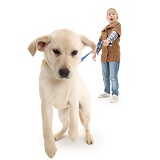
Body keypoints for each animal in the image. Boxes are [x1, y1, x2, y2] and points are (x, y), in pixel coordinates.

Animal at [27, 29, 95, 159]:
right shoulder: (45, 105)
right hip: (61, 113)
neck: (59, 81)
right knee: (65, 125)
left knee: (86, 125)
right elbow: (47, 128)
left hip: (85, 111)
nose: (64, 72)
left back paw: (89, 137)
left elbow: (74, 120)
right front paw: (50, 148)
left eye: (74, 52)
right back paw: (58, 135)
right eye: (56, 51)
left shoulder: (73, 101)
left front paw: (73, 135)